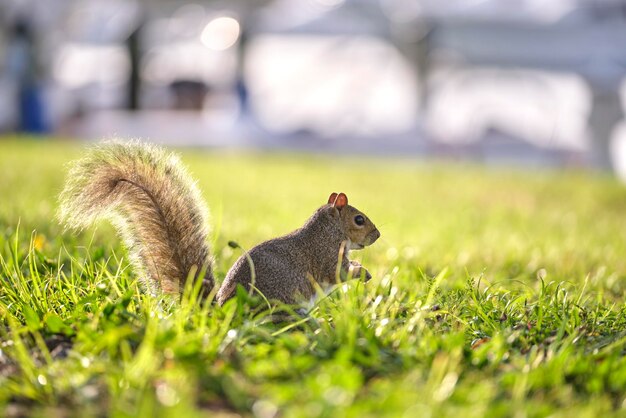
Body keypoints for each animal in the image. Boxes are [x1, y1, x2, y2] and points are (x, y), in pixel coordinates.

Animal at [58, 142, 378, 306]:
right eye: (359, 219)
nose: (377, 235)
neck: (330, 229)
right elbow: (337, 272)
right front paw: (362, 273)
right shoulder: (326, 255)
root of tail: (220, 308)